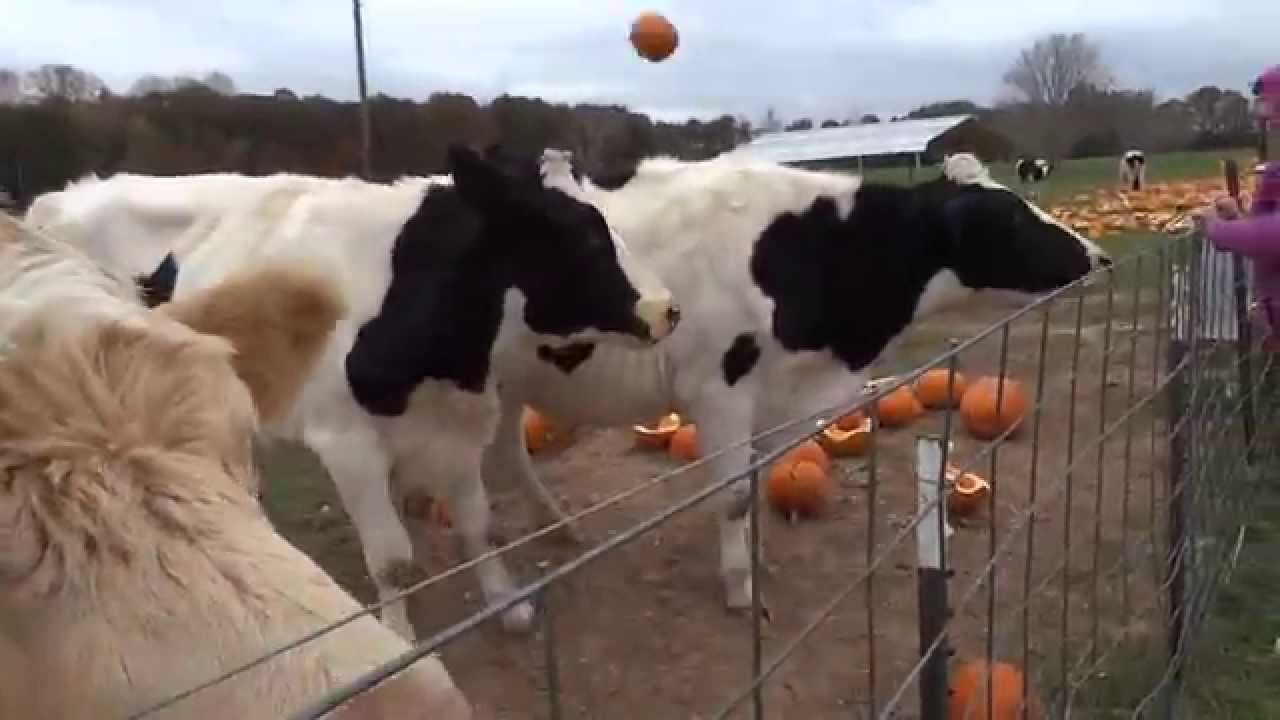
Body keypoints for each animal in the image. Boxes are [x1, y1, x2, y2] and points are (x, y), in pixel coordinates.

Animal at [68, 144, 681, 643]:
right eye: (579, 234)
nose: (667, 309)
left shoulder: (462, 425)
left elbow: (477, 524)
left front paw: (505, 604)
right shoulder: (348, 446)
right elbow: (390, 559)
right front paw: (402, 636)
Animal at [479, 151, 1113, 616]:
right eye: (1009, 220)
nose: (1101, 258)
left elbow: (756, 485)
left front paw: (756, 565)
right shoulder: (720, 391)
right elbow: (735, 496)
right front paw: (740, 591)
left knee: (509, 451)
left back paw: (558, 528)